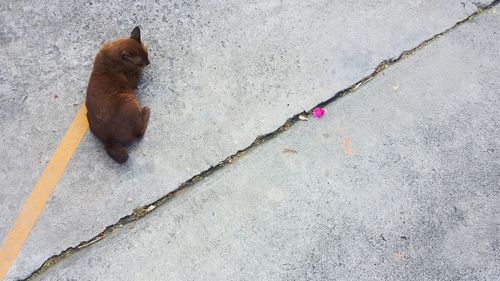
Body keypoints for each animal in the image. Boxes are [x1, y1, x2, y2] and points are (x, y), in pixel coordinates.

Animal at [86, 26, 150, 163]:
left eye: (147, 55)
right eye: (140, 62)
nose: (148, 62)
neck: (109, 56)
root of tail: (109, 142)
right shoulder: (132, 82)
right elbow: (137, 73)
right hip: (128, 99)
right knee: (139, 132)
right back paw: (146, 110)